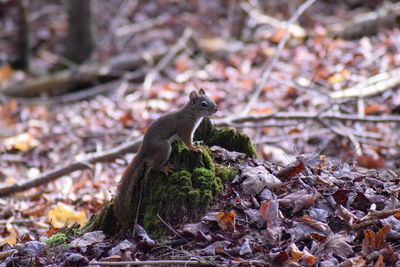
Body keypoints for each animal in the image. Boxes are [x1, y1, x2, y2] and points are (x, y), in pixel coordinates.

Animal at [112, 89, 219, 227]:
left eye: (211, 99)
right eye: (204, 104)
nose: (216, 108)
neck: (191, 113)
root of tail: (144, 150)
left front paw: (198, 143)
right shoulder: (185, 127)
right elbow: (187, 140)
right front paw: (194, 148)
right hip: (163, 148)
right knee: (153, 167)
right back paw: (165, 168)